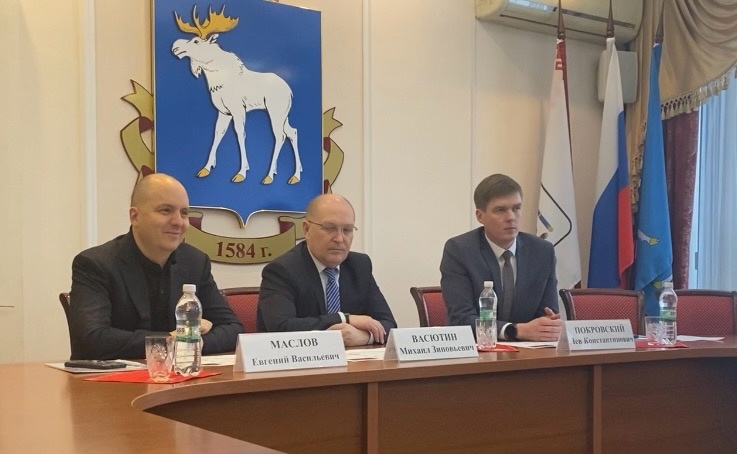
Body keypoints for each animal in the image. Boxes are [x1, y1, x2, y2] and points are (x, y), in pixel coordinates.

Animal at [171, 6, 301, 184]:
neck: (216, 80)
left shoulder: (238, 109)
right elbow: (217, 134)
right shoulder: (223, 112)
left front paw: (241, 172)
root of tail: (290, 91)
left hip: (275, 112)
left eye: (196, 41)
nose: (175, 47)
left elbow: (240, 135)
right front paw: (206, 168)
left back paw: (269, 175)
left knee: (280, 135)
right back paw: (295, 175)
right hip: (284, 114)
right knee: (292, 132)